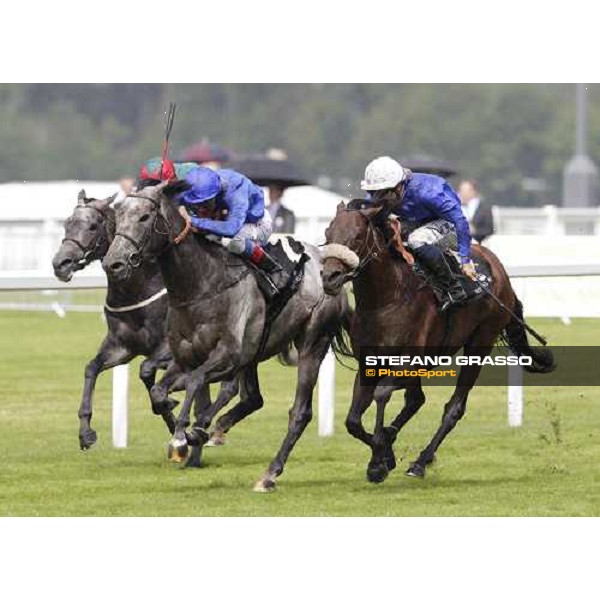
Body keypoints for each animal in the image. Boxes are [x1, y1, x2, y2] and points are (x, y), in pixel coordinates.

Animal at [51, 190, 239, 462]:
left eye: (93, 226)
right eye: (67, 223)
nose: (60, 263)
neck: (137, 290)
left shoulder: (169, 348)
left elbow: (147, 370)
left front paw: (172, 415)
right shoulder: (122, 346)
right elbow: (92, 368)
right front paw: (86, 433)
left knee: (229, 388)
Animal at [322, 202, 556, 482]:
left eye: (357, 236)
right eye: (327, 234)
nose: (330, 276)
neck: (386, 299)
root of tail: (500, 271)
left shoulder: (410, 364)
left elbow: (381, 394)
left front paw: (379, 460)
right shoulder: (369, 364)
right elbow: (353, 421)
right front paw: (384, 455)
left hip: (481, 342)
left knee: (454, 407)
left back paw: (420, 462)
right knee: (416, 399)